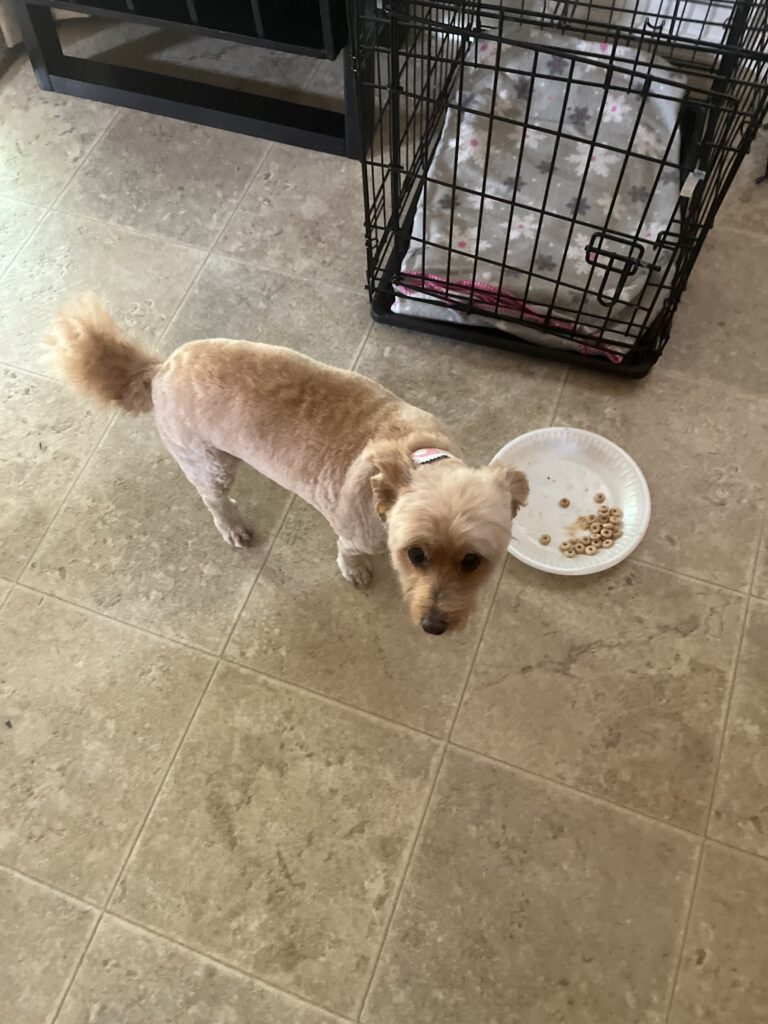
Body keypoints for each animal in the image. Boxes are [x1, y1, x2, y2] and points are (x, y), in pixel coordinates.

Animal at [45, 297, 528, 635]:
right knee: (213, 498)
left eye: (472, 561)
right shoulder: (354, 533)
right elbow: (348, 554)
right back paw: (232, 526)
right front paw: (355, 571)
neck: (415, 453)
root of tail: (160, 369)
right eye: (415, 554)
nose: (434, 626)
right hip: (208, 462)